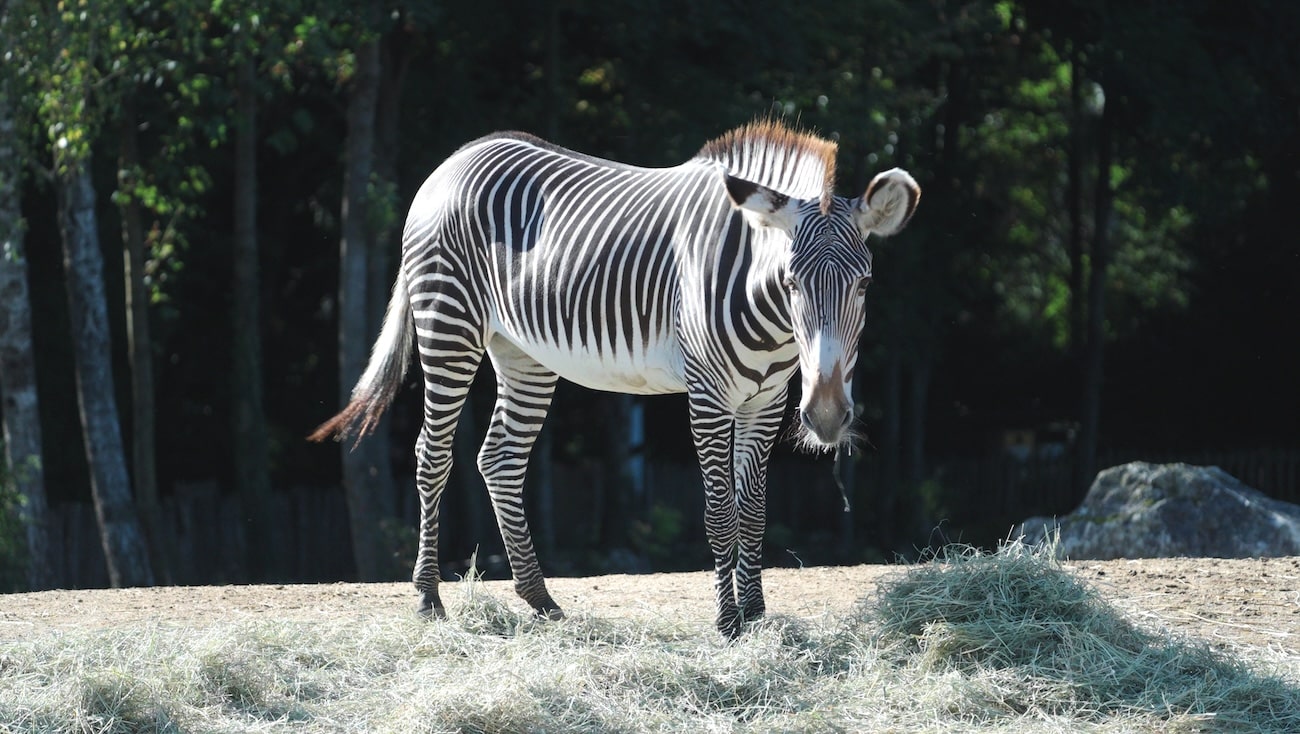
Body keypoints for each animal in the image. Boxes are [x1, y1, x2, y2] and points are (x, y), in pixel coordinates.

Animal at [309, 120, 920, 636]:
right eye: (791, 282)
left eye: (865, 284)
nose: (826, 416)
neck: (765, 308)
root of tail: (457, 157)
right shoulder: (708, 393)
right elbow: (720, 509)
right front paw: (728, 623)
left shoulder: (765, 400)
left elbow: (754, 509)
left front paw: (756, 614)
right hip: (448, 323)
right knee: (432, 455)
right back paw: (429, 598)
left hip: (521, 352)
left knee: (499, 458)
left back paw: (541, 600)